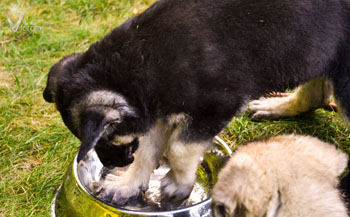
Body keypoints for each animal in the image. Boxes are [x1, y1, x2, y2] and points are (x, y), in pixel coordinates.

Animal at [43, 0, 350, 205]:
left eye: (106, 140)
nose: (115, 163)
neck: (137, 63)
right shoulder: (157, 109)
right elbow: (148, 149)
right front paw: (129, 183)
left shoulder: (216, 105)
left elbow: (179, 147)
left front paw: (177, 184)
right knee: (317, 91)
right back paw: (278, 106)